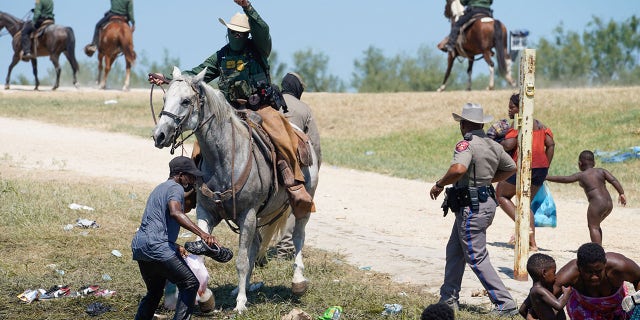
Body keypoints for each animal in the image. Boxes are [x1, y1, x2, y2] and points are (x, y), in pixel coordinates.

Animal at [151, 67, 320, 312]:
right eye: (165, 99)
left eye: (185, 101)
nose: (159, 135)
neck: (224, 158)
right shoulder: (206, 212)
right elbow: (203, 253)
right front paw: (206, 297)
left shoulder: (247, 214)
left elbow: (241, 260)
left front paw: (240, 304)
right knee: (256, 244)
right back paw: (246, 287)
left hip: (301, 203)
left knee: (298, 236)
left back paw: (297, 281)